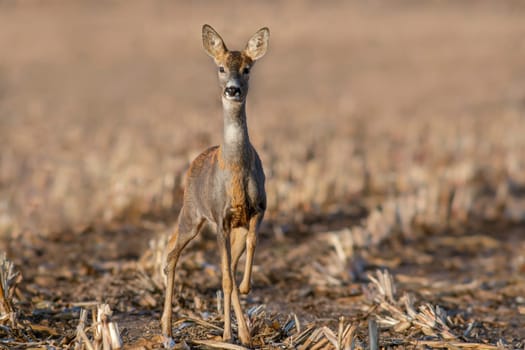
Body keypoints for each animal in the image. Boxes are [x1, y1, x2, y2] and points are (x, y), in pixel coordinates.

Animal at [160, 25, 268, 348]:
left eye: (247, 68)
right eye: (220, 68)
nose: (232, 90)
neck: (235, 169)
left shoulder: (258, 210)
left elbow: (245, 255)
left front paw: (246, 289)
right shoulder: (220, 219)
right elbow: (225, 277)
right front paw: (226, 334)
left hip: (225, 226)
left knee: (227, 266)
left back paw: (242, 333)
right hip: (191, 214)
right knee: (171, 253)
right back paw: (167, 329)